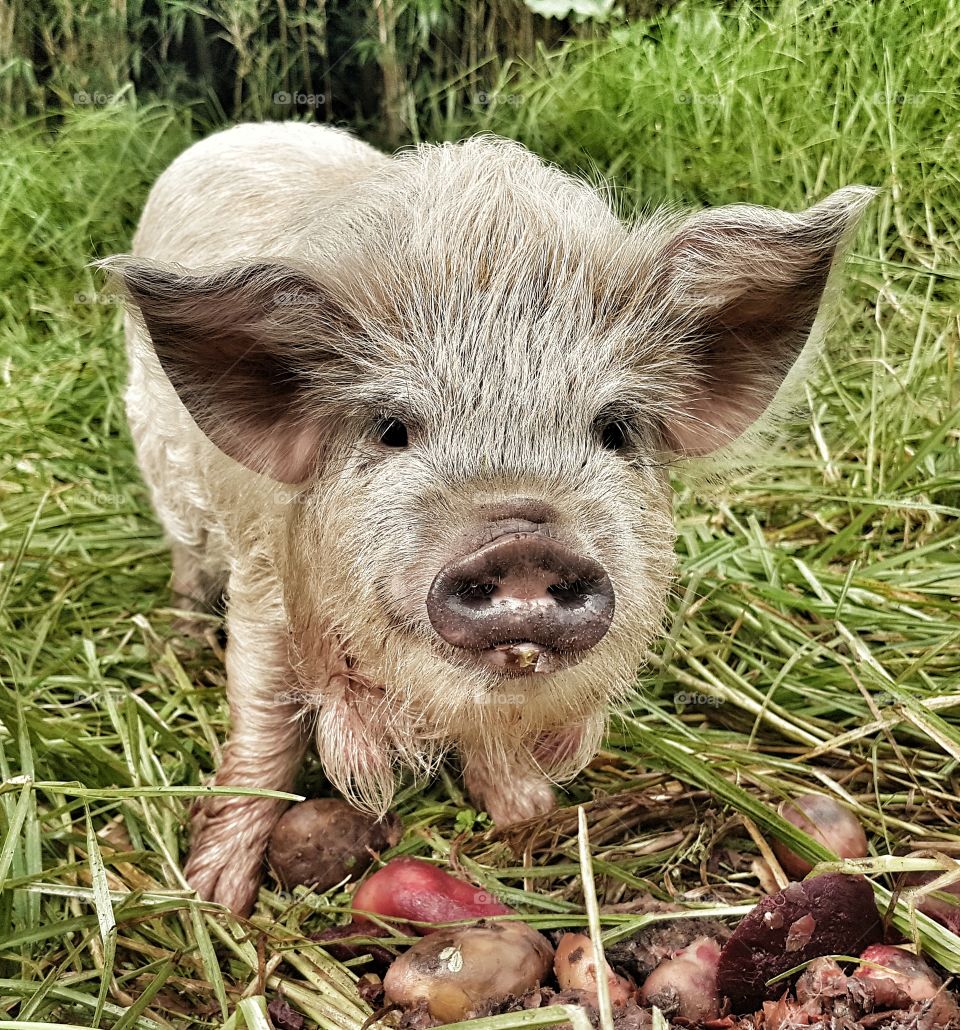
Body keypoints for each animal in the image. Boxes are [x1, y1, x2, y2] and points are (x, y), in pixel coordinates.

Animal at [102, 122, 874, 915]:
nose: (523, 539)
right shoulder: (263, 591)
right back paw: (178, 637)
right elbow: (262, 734)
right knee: (185, 557)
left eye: (614, 429)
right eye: (391, 429)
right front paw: (213, 897)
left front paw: (529, 813)